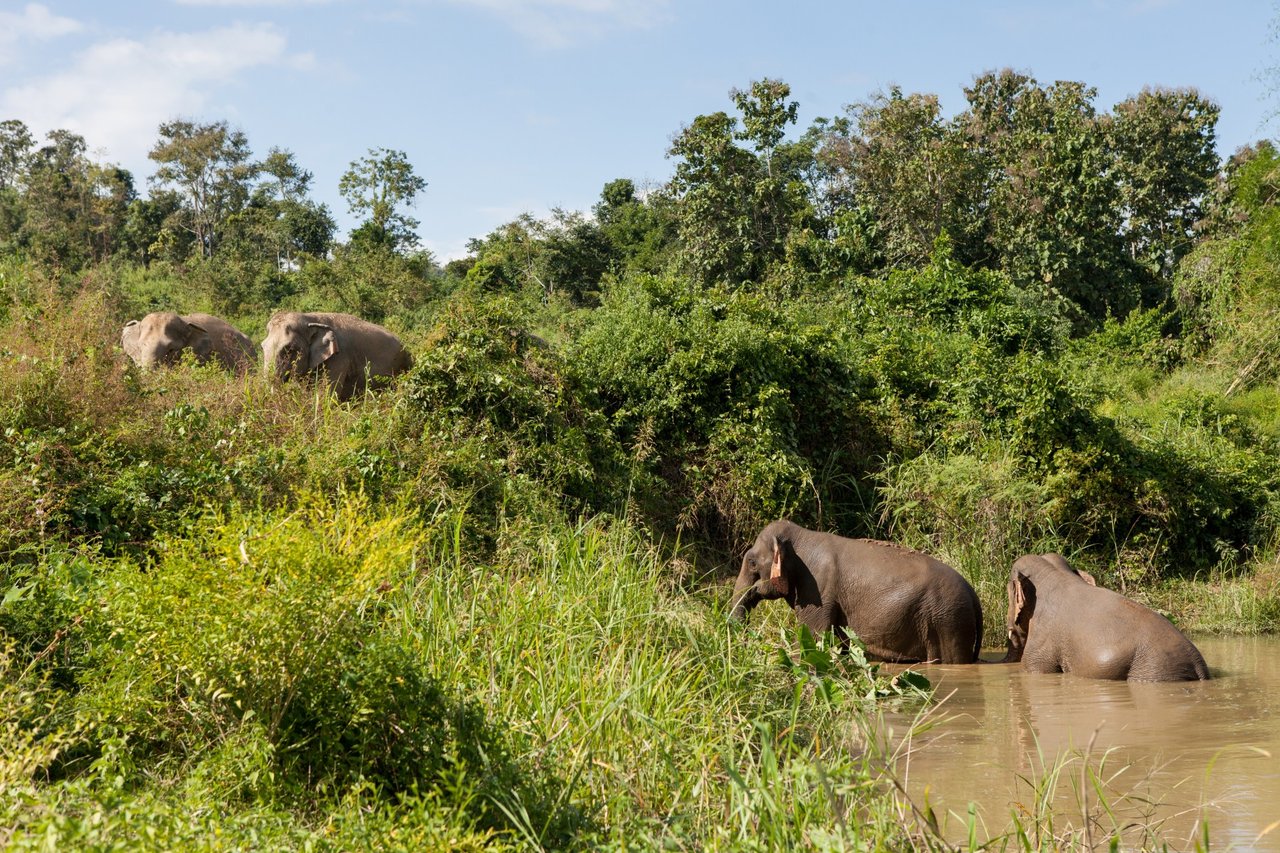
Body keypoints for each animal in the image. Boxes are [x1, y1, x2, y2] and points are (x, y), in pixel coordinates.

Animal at [727, 517, 983, 666]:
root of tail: (973, 595)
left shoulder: (818, 590)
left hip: (948, 621)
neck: (801, 536)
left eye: (751, 562)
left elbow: (814, 639)